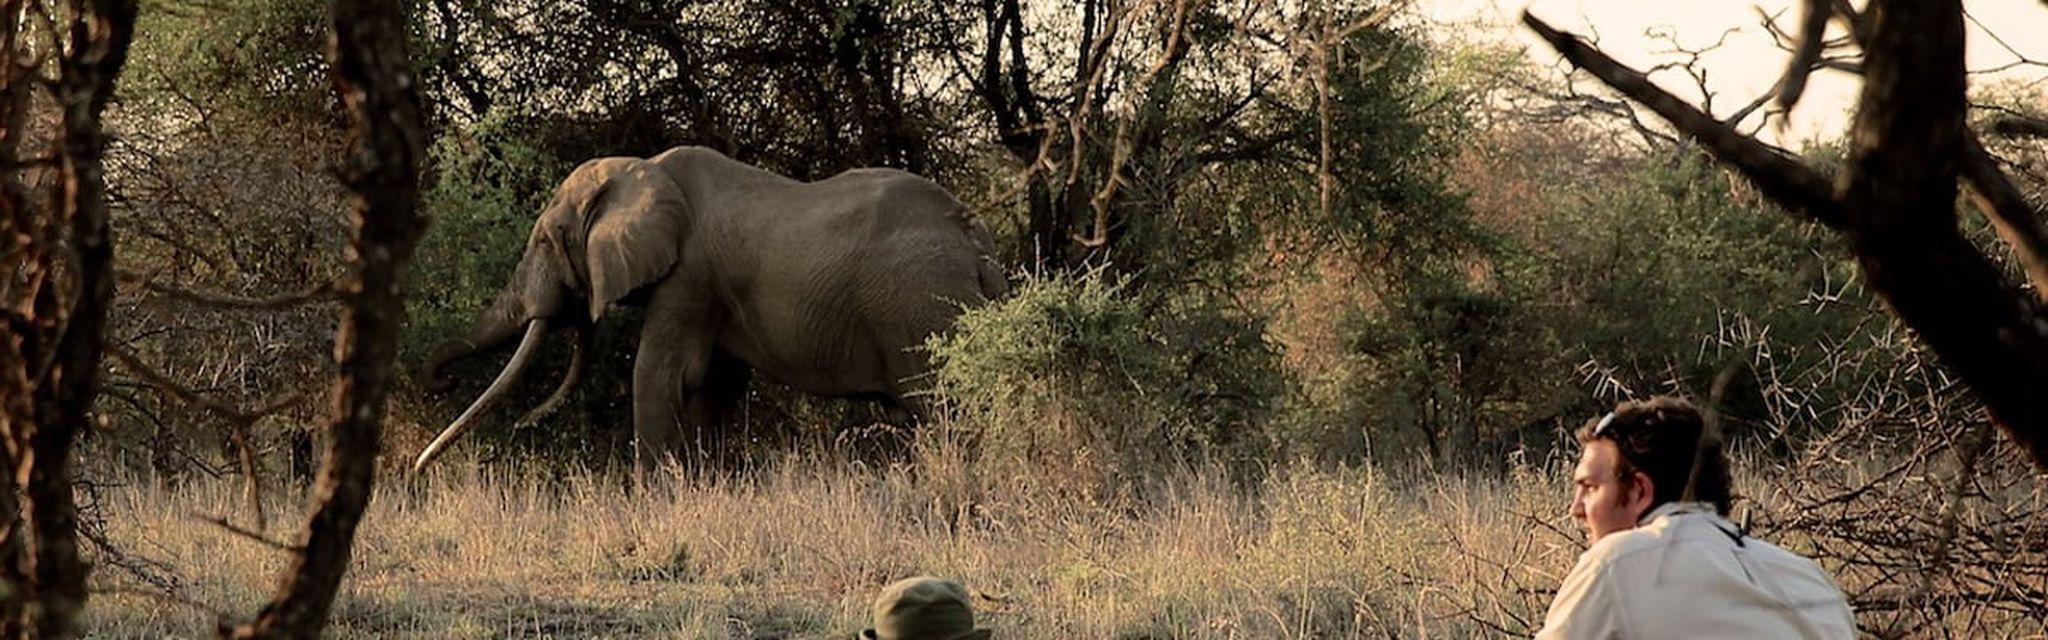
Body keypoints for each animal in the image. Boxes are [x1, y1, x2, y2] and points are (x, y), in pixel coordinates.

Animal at [414, 146, 1007, 475]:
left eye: (543, 241)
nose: (441, 382)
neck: (642, 169)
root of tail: (975, 242)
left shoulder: (690, 275)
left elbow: (663, 376)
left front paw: (652, 498)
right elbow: (714, 385)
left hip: (919, 306)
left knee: (945, 410)